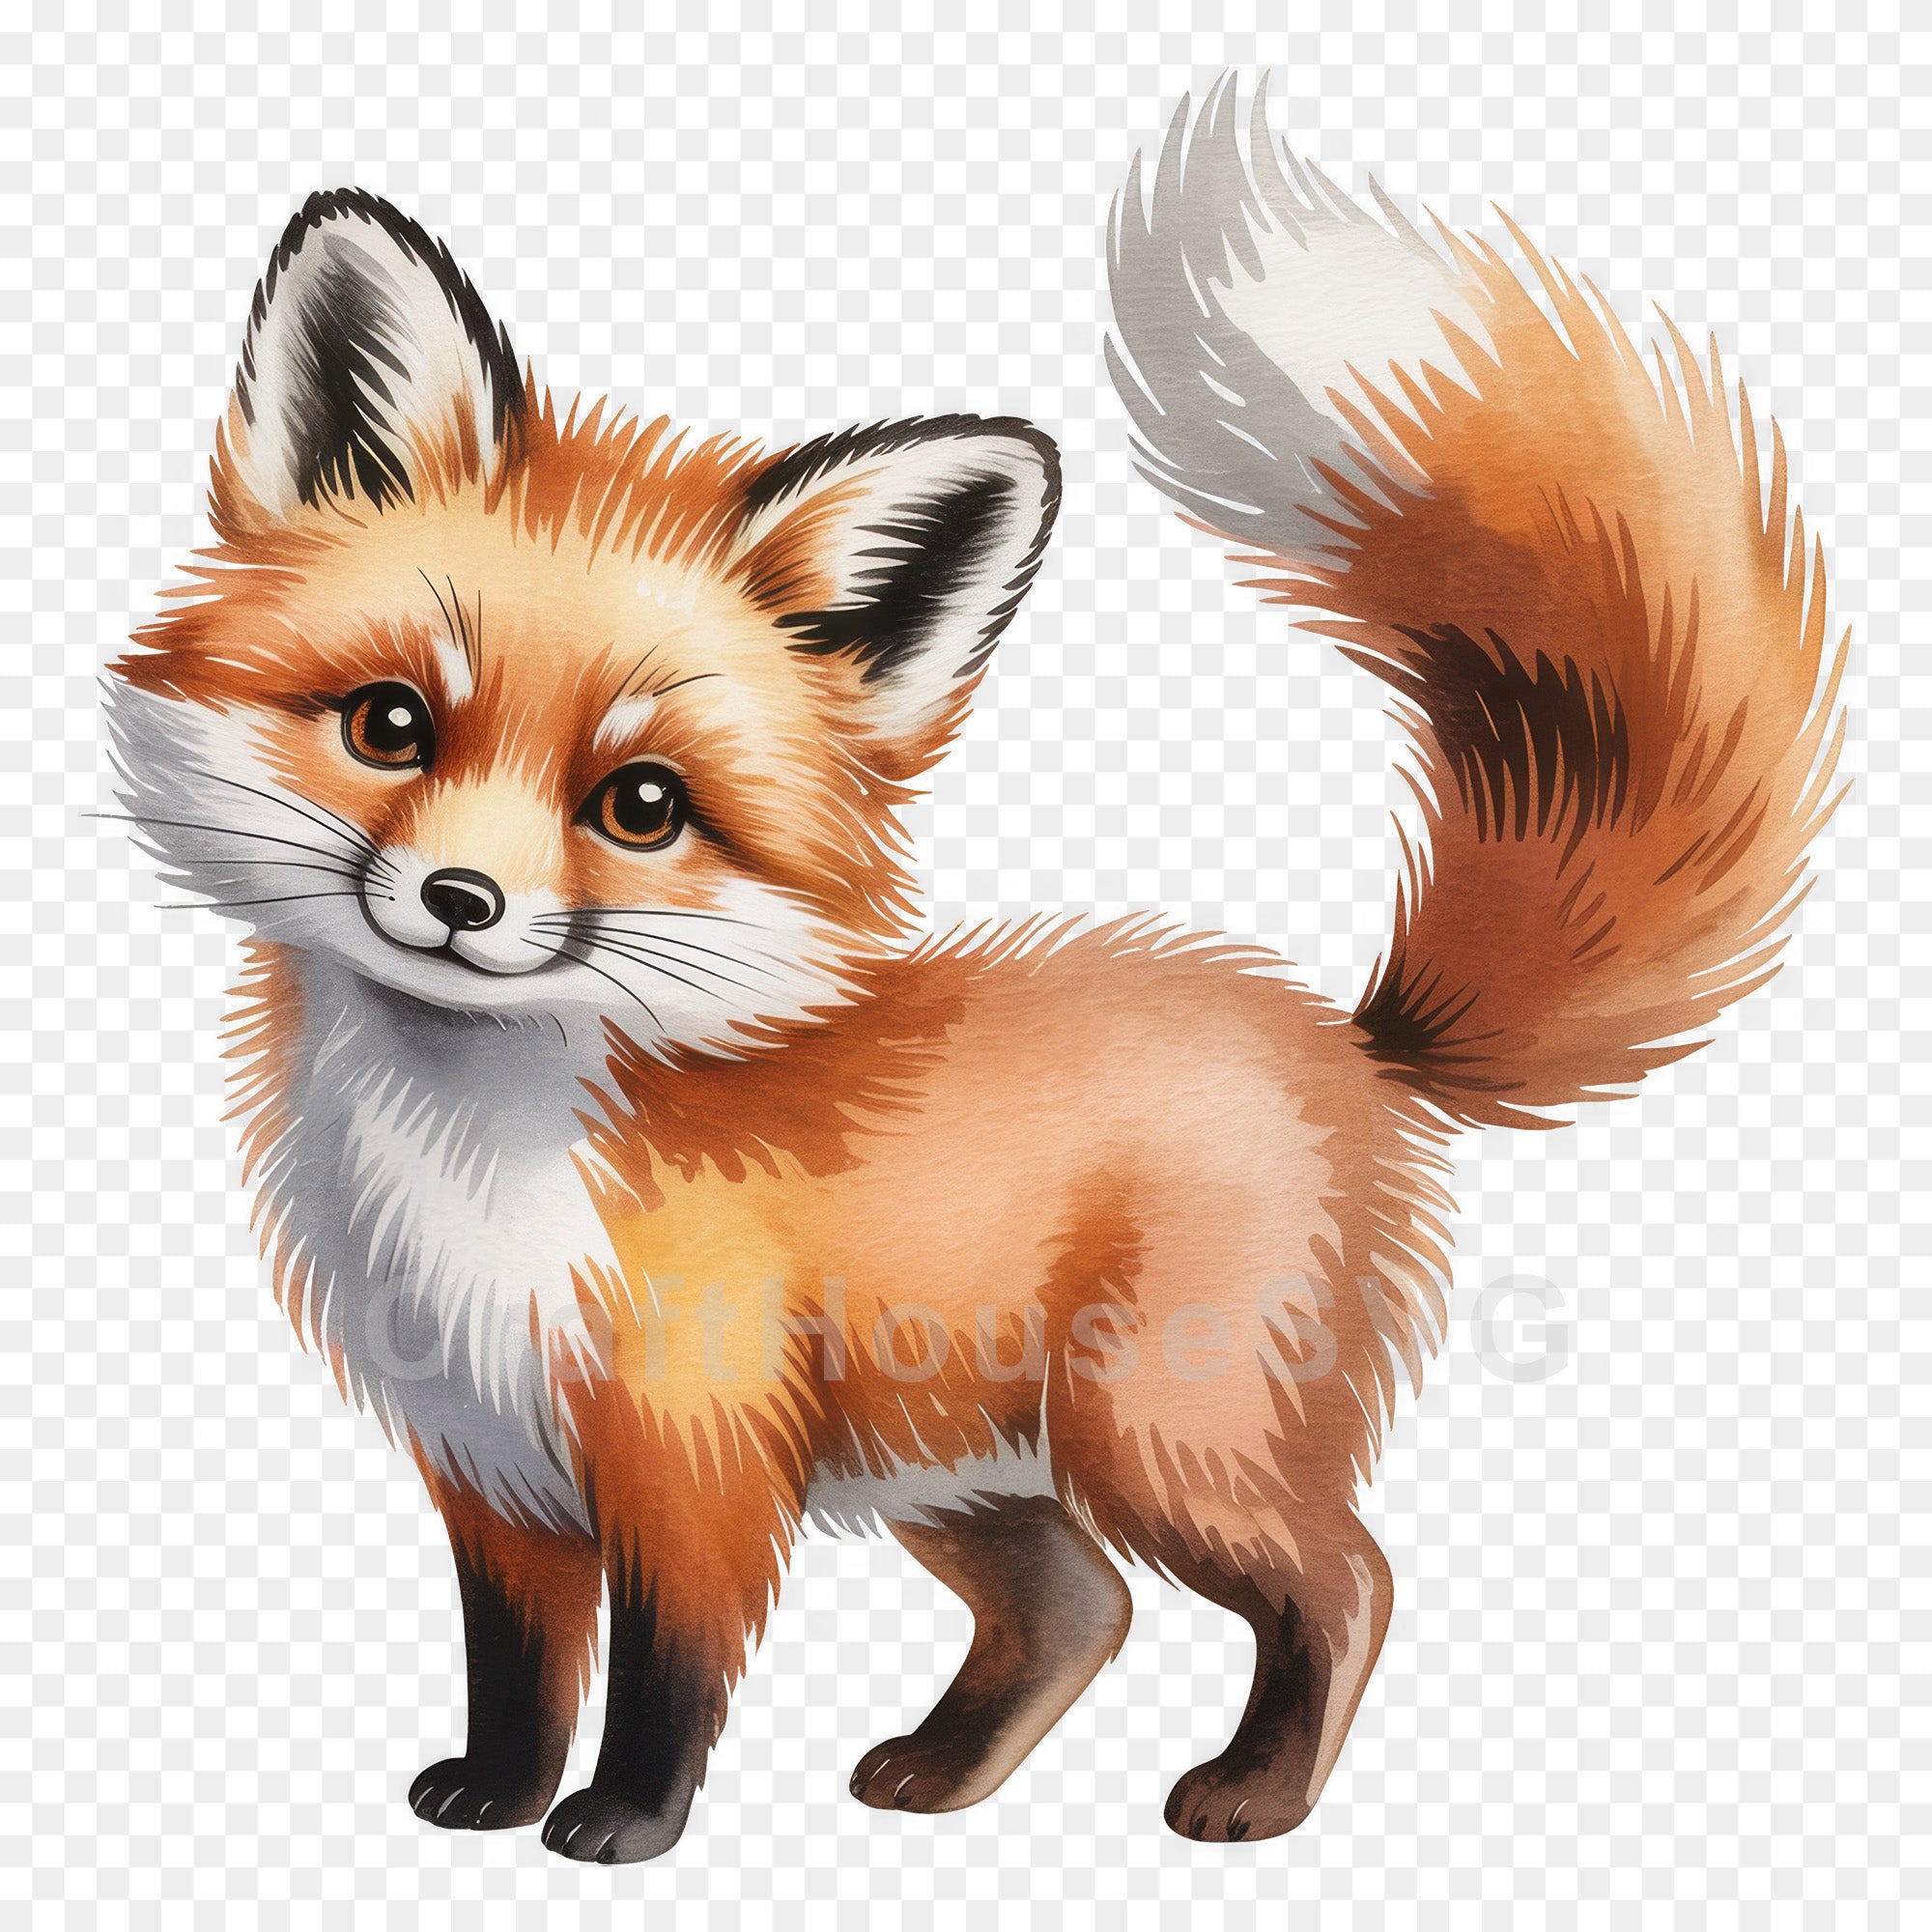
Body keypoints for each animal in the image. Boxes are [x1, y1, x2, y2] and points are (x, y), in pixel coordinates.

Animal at [107, 79, 1844, 1863]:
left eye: (641, 805)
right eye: (392, 723)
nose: (459, 899)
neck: (476, 1168)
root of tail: (1353, 1039)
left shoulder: (697, 1463)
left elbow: (669, 1672)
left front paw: (624, 1826)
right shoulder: (490, 1467)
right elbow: (516, 1666)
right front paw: (496, 1800)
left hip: (1153, 1440)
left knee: (1347, 1579)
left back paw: (1257, 1795)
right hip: (968, 1468)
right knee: (1083, 1608)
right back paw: (942, 1775)